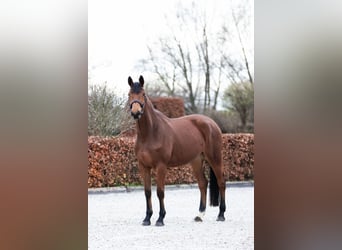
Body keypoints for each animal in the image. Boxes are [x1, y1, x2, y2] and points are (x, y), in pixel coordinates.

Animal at [127, 75, 226, 226]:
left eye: (143, 94)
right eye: (129, 94)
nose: (135, 112)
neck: (150, 132)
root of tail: (212, 123)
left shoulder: (161, 166)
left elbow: (160, 192)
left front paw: (160, 218)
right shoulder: (143, 166)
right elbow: (147, 192)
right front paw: (147, 218)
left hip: (214, 158)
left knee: (221, 182)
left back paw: (221, 214)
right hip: (197, 161)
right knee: (203, 184)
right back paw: (200, 215)